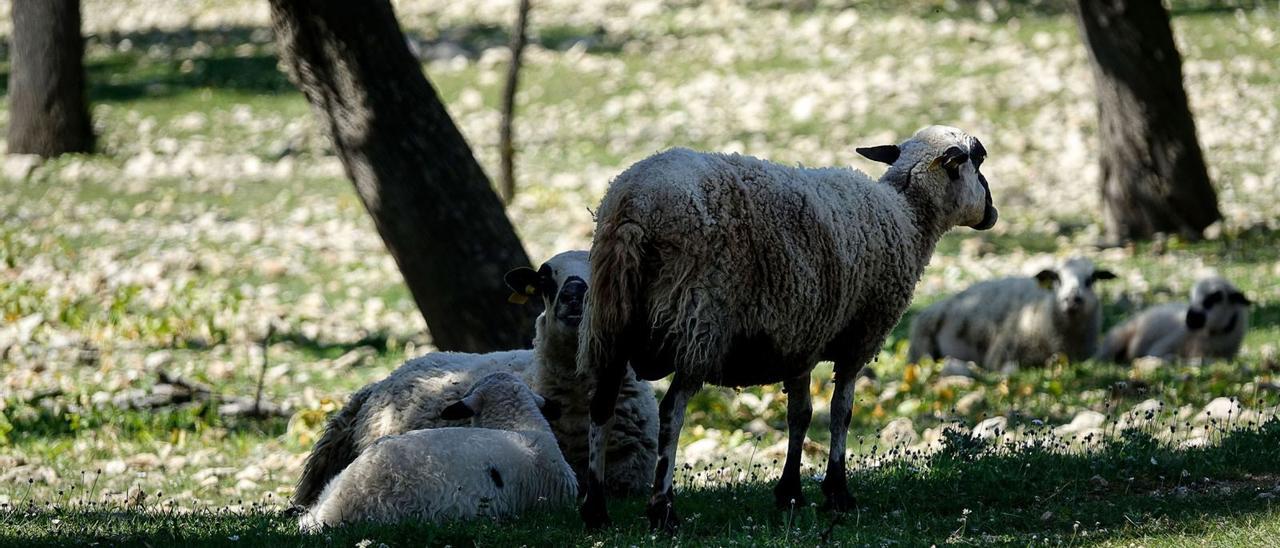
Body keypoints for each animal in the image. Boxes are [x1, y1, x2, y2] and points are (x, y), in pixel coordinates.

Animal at [578, 125, 998, 530]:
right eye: (977, 160)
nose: (992, 212)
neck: (907, 215)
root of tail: (633, 205)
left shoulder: (800, 339)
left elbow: (800, 415)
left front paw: (791, 492)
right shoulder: (858, 337)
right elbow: (841, 412)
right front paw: (837, 492)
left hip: (608, 321)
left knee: (601, 406)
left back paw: (596, 510)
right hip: (698, 322)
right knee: (671, 412)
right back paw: (662, 509)